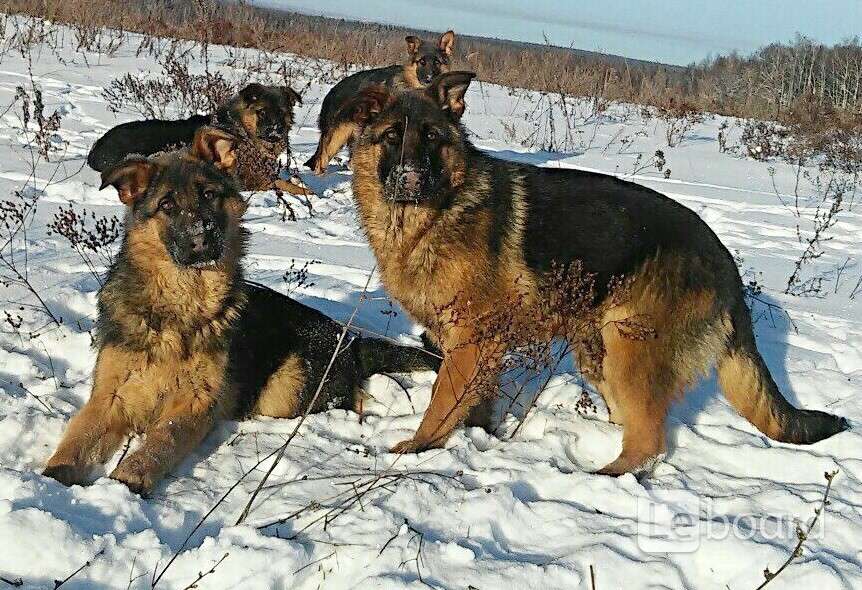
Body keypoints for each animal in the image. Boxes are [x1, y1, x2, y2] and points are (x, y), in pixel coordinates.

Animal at [42, 127, 438, 498]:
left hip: (285, 391)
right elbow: (76, 440)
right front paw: (52, 480)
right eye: (166, 205)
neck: (183, 304)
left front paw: (129, 477)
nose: (202, 238)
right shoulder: (110, 398)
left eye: (208, 195)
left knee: (351, 398)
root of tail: (350, 339)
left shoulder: (194, 403)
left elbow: (161, 440)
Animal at [87, 83, 310, 197]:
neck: (241, 131)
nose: (275, 133)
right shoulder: (250, 181)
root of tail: (96, 150)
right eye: (262, 112)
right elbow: (283, 185)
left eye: (281, 113)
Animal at [304, 30, 456, 176]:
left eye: (437, 62)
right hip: (336, 136)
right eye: (422, 62)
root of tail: (333, 90)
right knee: (321, 159)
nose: (429, 79)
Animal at [342, 71, 852, 478]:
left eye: (431, 137)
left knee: (649, 441)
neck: (436, 214)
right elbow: (472, 405)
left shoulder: (470, 344)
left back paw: (604, 478)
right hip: (599, 355)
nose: (410, 179)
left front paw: (415, 449)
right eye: (391, 136)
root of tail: (724, 261)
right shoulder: (473, 349)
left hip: (629, 352)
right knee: (633, 425)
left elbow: (439, 406)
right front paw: (477, 438)